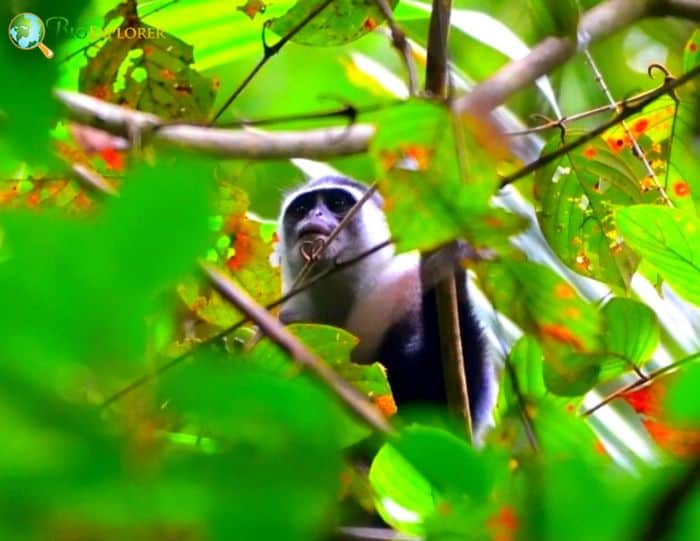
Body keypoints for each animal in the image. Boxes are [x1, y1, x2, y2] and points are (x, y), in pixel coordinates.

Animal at [276, 175, 494, 432]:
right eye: (301, 209)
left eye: (337, 203)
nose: (315, 214)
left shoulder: (401, 291)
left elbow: (440, 409)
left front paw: (446, 264)